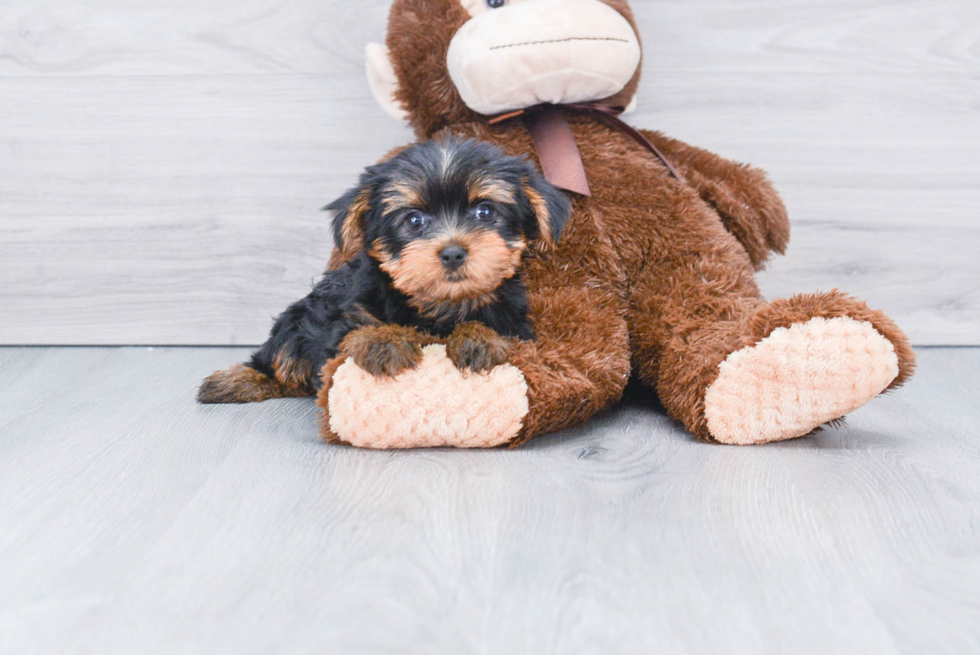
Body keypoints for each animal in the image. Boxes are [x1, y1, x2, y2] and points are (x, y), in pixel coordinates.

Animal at [196, 139, 572, 404]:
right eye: (414, 220)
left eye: (485, 212)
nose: (453, 252)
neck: (438, 305)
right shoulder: (345, 314)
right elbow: (353, 332)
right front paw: (384, 341)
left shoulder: (517, 327)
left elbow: (497, 330)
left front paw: (479, 338)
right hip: (298, 317)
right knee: (279, 356)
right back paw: (236, 381)